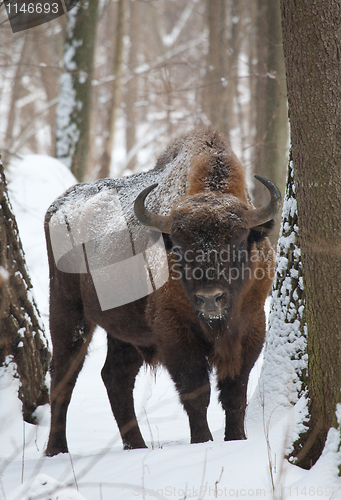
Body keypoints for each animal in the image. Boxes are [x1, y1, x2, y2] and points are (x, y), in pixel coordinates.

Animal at [44, 127, 278, 456]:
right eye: (178, 245)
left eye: (237, 239)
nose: (210, 298)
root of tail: (58, 207)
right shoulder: (174, 332)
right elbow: (196, 391)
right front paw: (203, 441)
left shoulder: (251, 327)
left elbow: (234, 393)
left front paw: (236, 439)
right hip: (68, 313)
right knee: (63, 377)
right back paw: (57, 450)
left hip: (124, 330)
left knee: (115, 376)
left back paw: (136, 446)